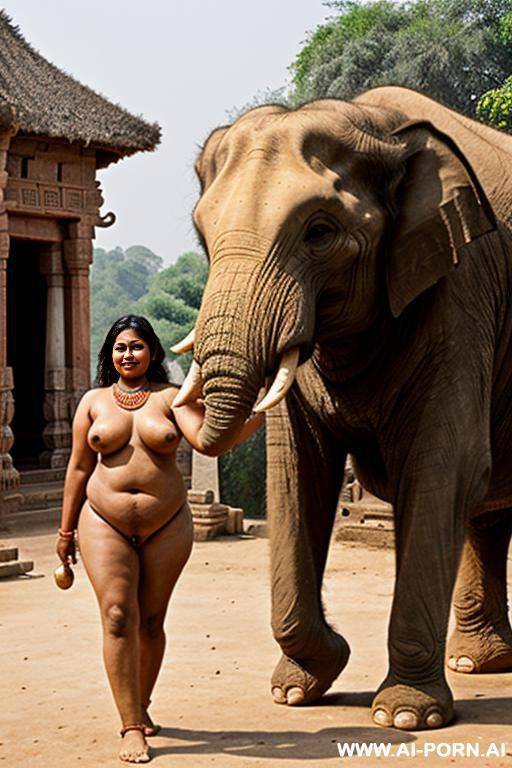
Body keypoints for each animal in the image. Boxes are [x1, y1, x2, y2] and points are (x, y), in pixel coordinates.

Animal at [174, 86, 512, 731]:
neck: (377, 124)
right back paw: (477, 663)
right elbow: (297, 473)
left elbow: (446, 463)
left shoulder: (463, 289)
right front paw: (298, 688)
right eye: (203, 232)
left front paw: (404, 717)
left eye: (319, 232)